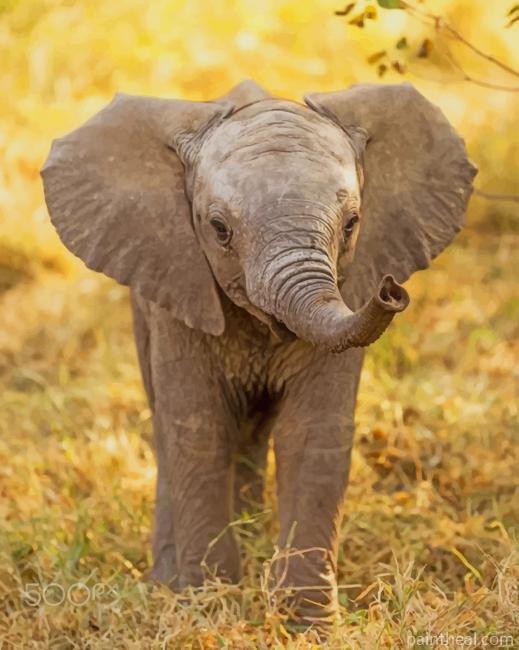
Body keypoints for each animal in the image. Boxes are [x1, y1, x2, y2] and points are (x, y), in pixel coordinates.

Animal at [41, 80, 476, 627]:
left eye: (352, 224)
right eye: (219, 229)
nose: (391, 291)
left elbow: (311, 434)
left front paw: (305, 623)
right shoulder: (177, 297)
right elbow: (199, 428)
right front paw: (209, 604)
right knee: (171, 423)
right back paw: (170, 577)